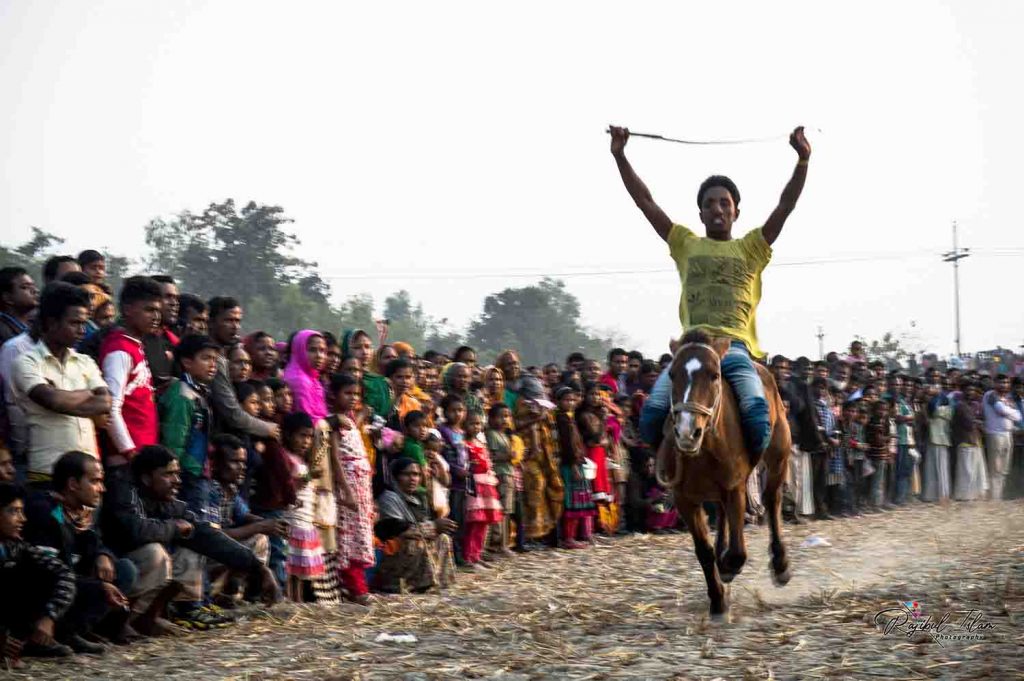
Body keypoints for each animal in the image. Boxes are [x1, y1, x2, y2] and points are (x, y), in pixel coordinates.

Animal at [655, 327, 790, 618]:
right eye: (672, 374)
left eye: (714, 375)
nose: (687, 432)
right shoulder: (684, 498)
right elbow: (703, 550)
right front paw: (718, 600)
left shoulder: (734, 488)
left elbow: (738, 552)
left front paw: (728, 569)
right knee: (723, 516)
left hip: (778, 455)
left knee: (772, 499)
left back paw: (780, 565)